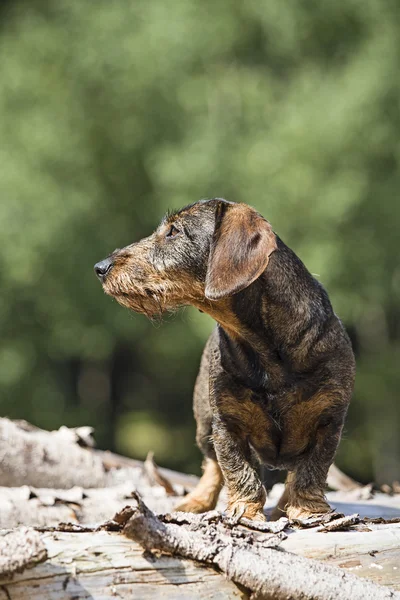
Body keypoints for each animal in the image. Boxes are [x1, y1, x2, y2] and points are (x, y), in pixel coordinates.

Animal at [94, 197, 356, 520]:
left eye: (173, 231)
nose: (100, 267)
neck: (264, 349)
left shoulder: (328, 421)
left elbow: (312, 470)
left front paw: (308, 509)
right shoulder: (226, 424)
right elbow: (237, 470)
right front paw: (245, 511)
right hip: (203, 423)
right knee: (211, 465)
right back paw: (197, 500)